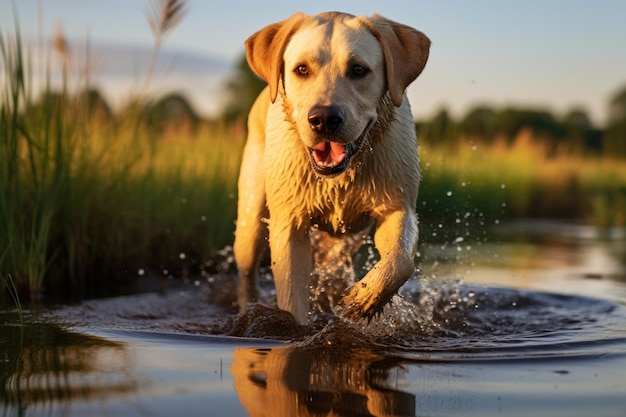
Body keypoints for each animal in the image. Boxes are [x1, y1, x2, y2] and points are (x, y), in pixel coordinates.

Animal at [234, 9, 428, 324]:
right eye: (302, 69)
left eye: (358, 70)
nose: (324, 119)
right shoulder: (288, 225)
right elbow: (292, 294)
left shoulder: (398, 207)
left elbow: (401, 260)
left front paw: (365, 298)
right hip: (250, 221)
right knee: (247, 269)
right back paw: (247, 308)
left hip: (346, 241)